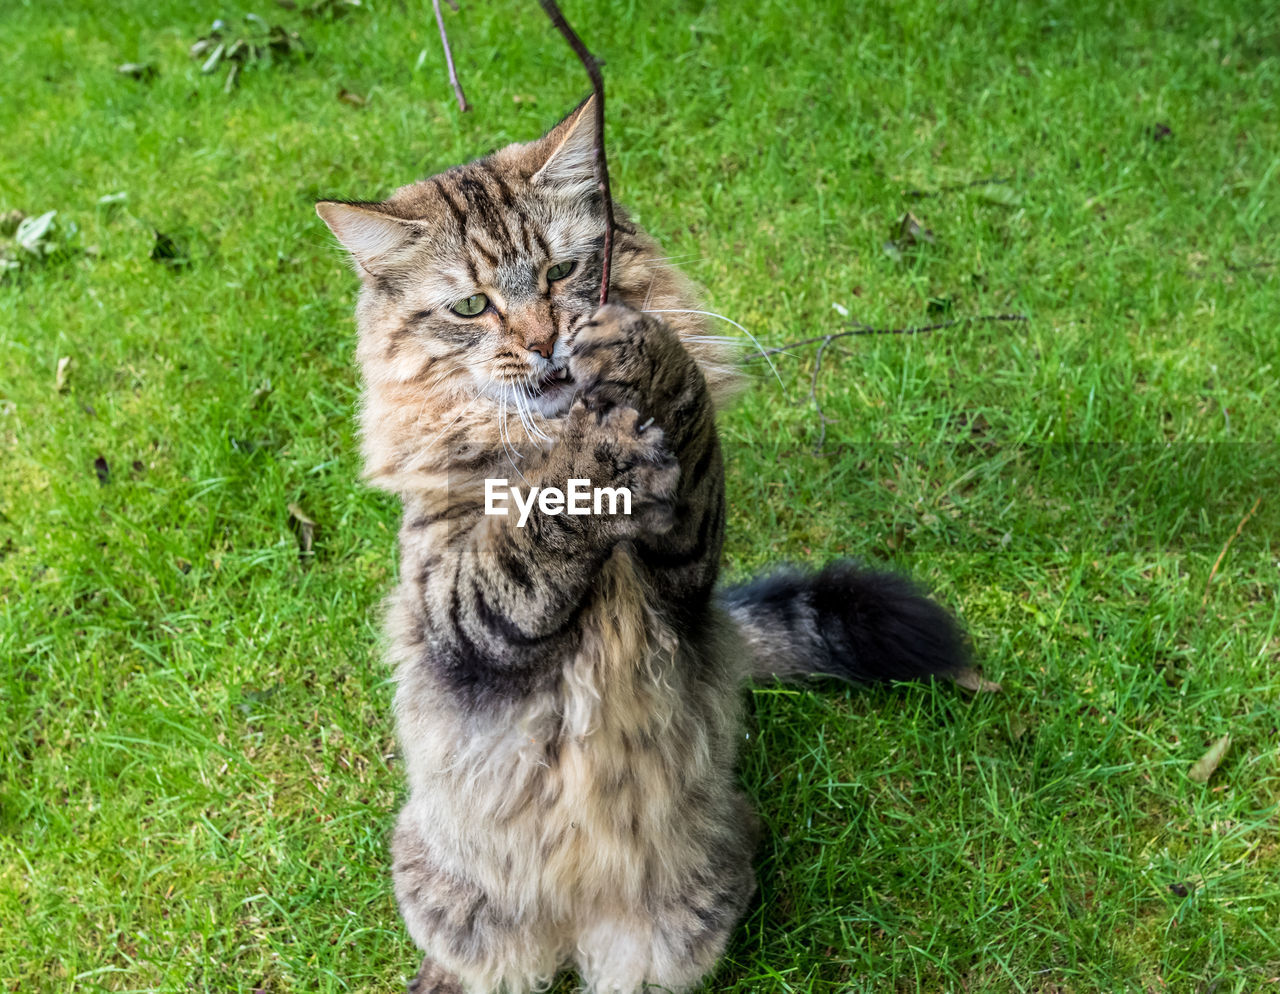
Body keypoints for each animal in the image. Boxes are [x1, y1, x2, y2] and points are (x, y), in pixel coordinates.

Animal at [314, 95, 962, 992]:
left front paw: (639, 359)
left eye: (560, 273)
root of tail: (571, 932)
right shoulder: (459, 609)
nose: (545, 342)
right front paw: (590, 456)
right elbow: (531, 535)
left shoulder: (687, 563)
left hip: (669, 930)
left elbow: (679, 399)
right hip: (452, 894)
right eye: (471, 309)